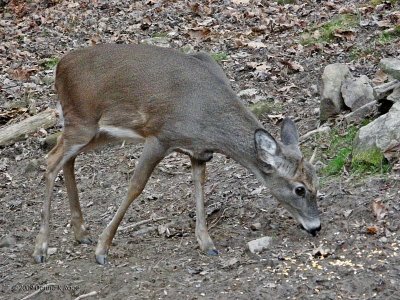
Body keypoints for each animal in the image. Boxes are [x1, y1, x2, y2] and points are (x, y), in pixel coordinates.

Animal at [32, 42, 322, 264]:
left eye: (316, 182)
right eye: (299, 189)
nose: (316, 227)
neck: (207, 116)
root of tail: (59, 66)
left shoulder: (199, 151)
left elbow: (199, 186)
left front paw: (207, 243)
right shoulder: (160, 136)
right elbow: (136, 186)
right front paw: (102, 250)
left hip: (99, 132)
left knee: (67, 159)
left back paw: (81, 233)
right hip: (82, 119)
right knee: (51, 160)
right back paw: (41, 248)